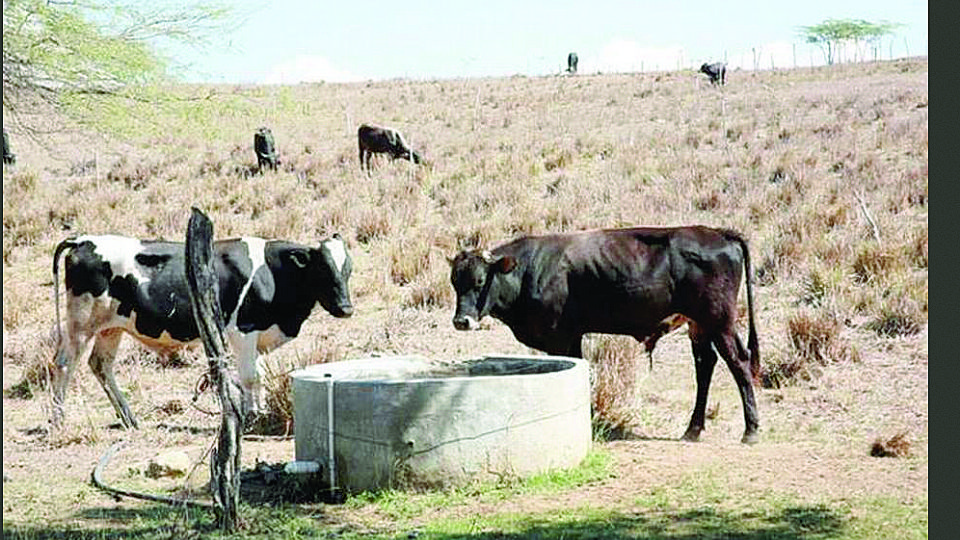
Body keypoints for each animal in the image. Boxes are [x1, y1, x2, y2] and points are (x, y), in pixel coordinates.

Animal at [50, 234, 354, 428]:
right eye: (322, 270)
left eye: (347, 270)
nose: (346, 308)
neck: (270, 273)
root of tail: (82, 240)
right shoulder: (243, 331)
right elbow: (251, 377)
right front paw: (253, 416)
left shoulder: (257, 335)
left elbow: (259, 377)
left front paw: (261, 411)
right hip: (81, 323)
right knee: (64, 364)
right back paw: (59, 420)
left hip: (110, 328)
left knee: (100, 364)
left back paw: (128, 418)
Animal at [446, 227, 760, 442]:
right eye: (454, 282)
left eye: (480, 281)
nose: (462, 321)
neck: (529, 271)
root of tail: (719, 233)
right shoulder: (572, 337)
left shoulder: (559, 338)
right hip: (700, 325)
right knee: (705, 365)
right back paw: (693, 429)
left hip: (719, 321)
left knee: (738, 362)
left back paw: (751, 430)